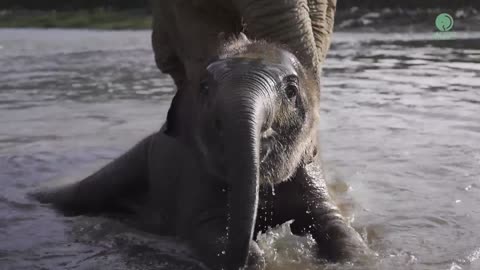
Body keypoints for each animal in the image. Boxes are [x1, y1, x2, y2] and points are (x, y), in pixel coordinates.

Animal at [32, 36, 372, 270]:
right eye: (205, 89)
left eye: (290, 90)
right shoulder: (197, 174)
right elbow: (205, 229)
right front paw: (252, 255)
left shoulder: (308, 167)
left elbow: (336, 226)